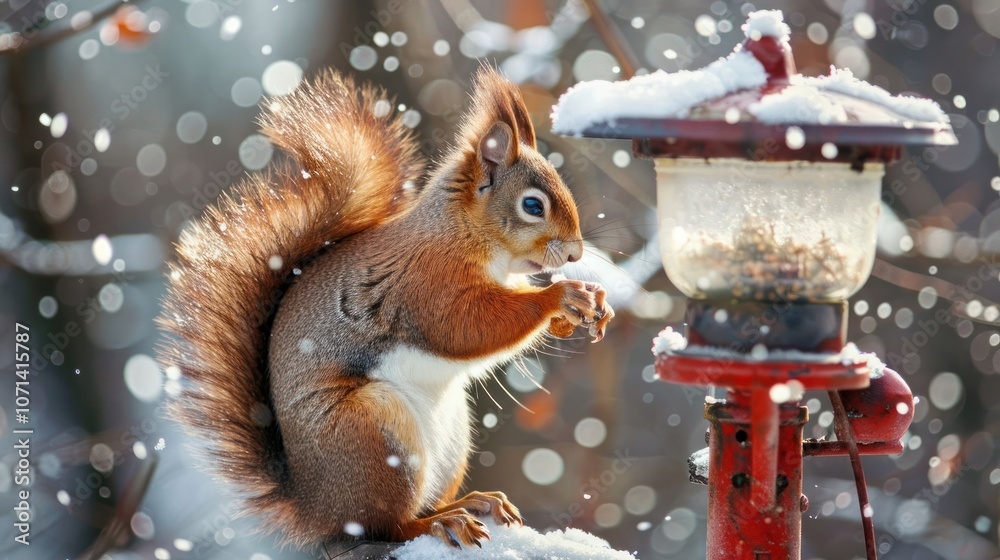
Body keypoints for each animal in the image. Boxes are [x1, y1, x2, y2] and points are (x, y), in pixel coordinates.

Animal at [157, 66, 614, 550]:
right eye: (532, 205)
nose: (575, 253)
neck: (460, 231)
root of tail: (316, 508)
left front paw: (590, 302)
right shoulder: (426, 284)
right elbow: (466, 327)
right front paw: (559, 297)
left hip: (450, 439)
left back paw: (472, 503)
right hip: (375, 433)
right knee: (387, 524)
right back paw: (439, 523)